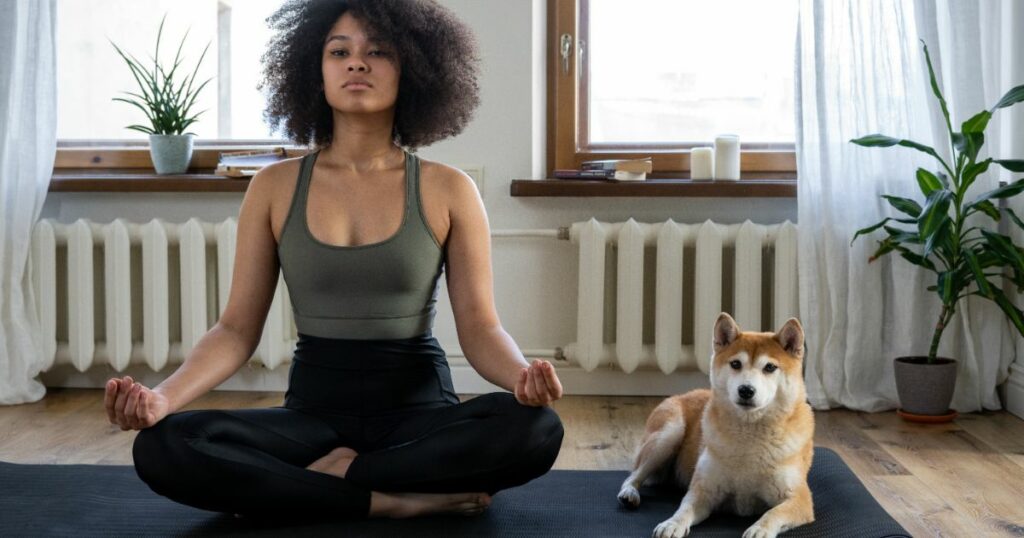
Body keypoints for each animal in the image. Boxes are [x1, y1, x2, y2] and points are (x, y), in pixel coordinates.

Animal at [618, 309, 811, 536]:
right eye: (736, 364)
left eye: (770, 367)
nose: (746, 390)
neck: (749, 437)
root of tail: (681, 395)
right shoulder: (703, 489)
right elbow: (684, 509)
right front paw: (672, 524)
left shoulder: (799, 499)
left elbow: (773, 513)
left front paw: (760, 529)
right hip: (669, 435)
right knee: (633, 475)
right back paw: (630, 492)